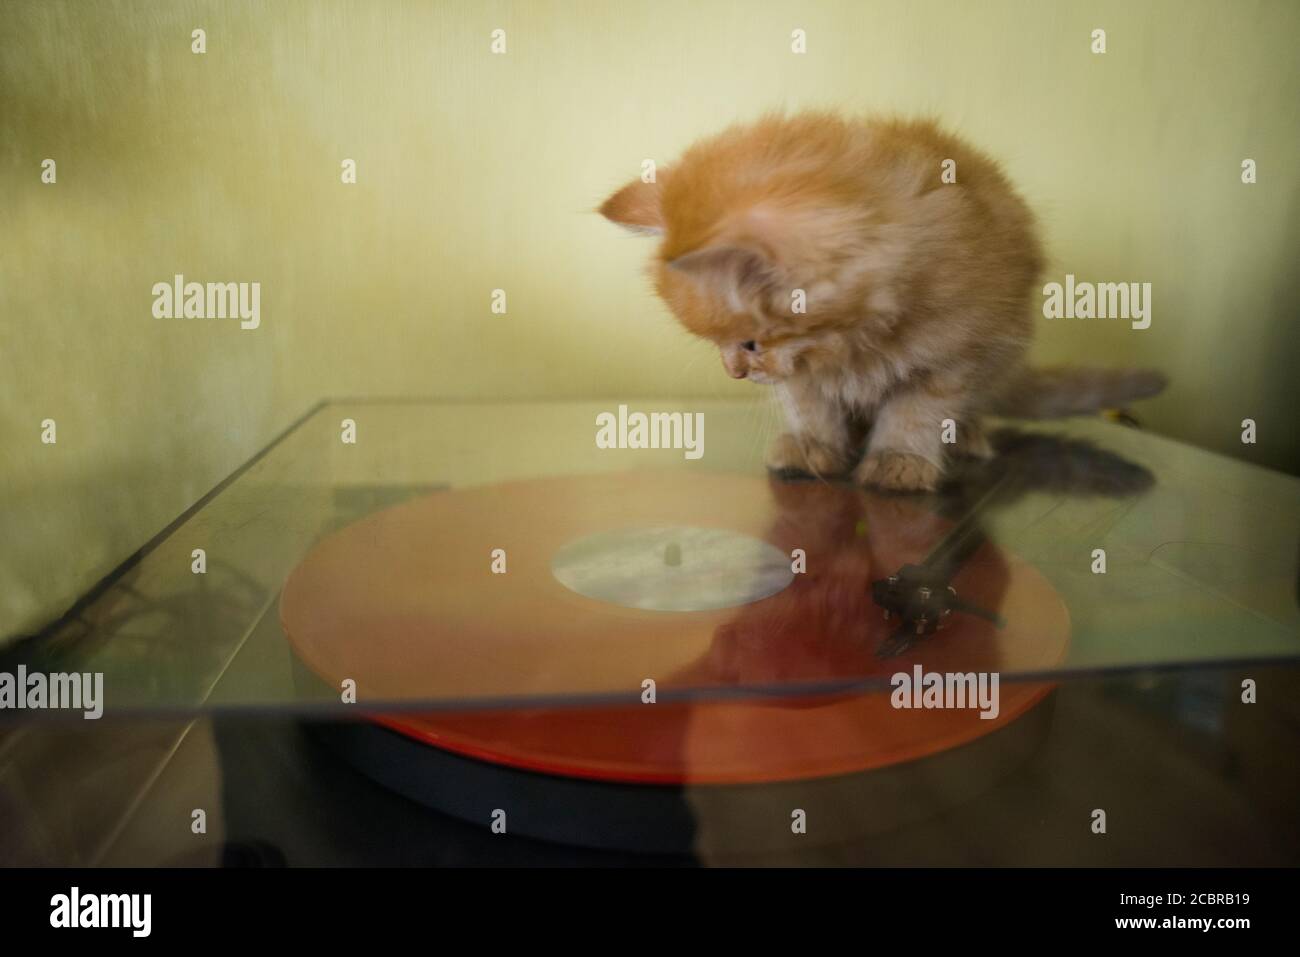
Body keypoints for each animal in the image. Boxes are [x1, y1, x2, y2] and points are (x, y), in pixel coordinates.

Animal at [598, 111, 1170, 494]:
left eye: (750, 344)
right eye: (720, 345)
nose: (735, 373)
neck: (856, 347)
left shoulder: (954, 353)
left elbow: (917, 411)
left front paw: (899, 460)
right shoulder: (803, 374)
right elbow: (810, 407)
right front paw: (812, 449)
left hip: (1003, 351)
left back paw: (967, 435)